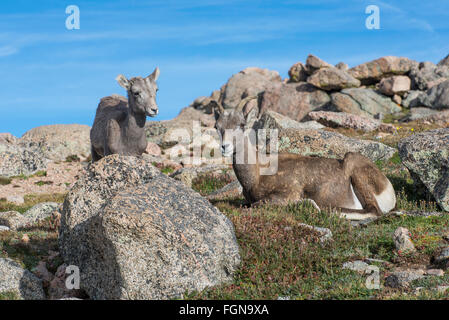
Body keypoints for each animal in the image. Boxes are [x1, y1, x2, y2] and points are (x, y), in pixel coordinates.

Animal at [214, 95, 396, 220]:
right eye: (217, 126)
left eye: (241, 125)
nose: (225, 147)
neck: (258, 174)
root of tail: (388, 189)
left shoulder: (286, 194)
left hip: (355, 168)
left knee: (373, 211)